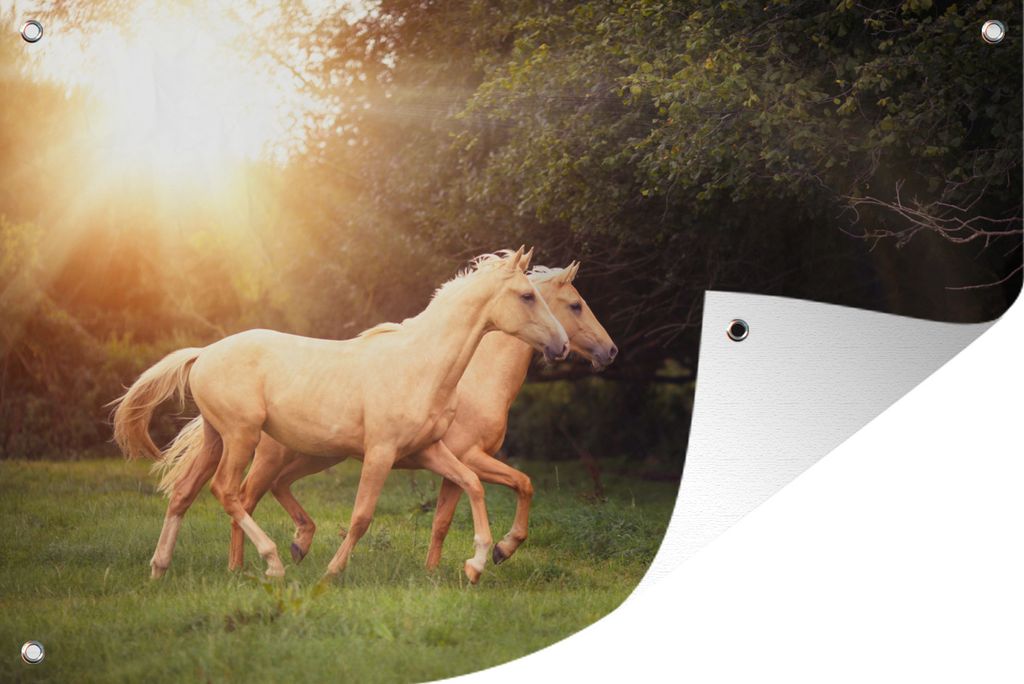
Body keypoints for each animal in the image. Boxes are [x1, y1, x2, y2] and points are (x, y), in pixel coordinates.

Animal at [111, 247, 569, 583]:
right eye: (528, 296)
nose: (562, 345)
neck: (420, 364)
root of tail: (204, 353)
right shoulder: (381, 452)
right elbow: (362, 516)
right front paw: (332, 571)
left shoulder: (430, 451)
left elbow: (472, 485)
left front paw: (478, 563)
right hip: (243, 437)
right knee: (227, 492)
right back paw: (273, 562)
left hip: (217, 437)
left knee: (184, 492)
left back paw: (160, 568)